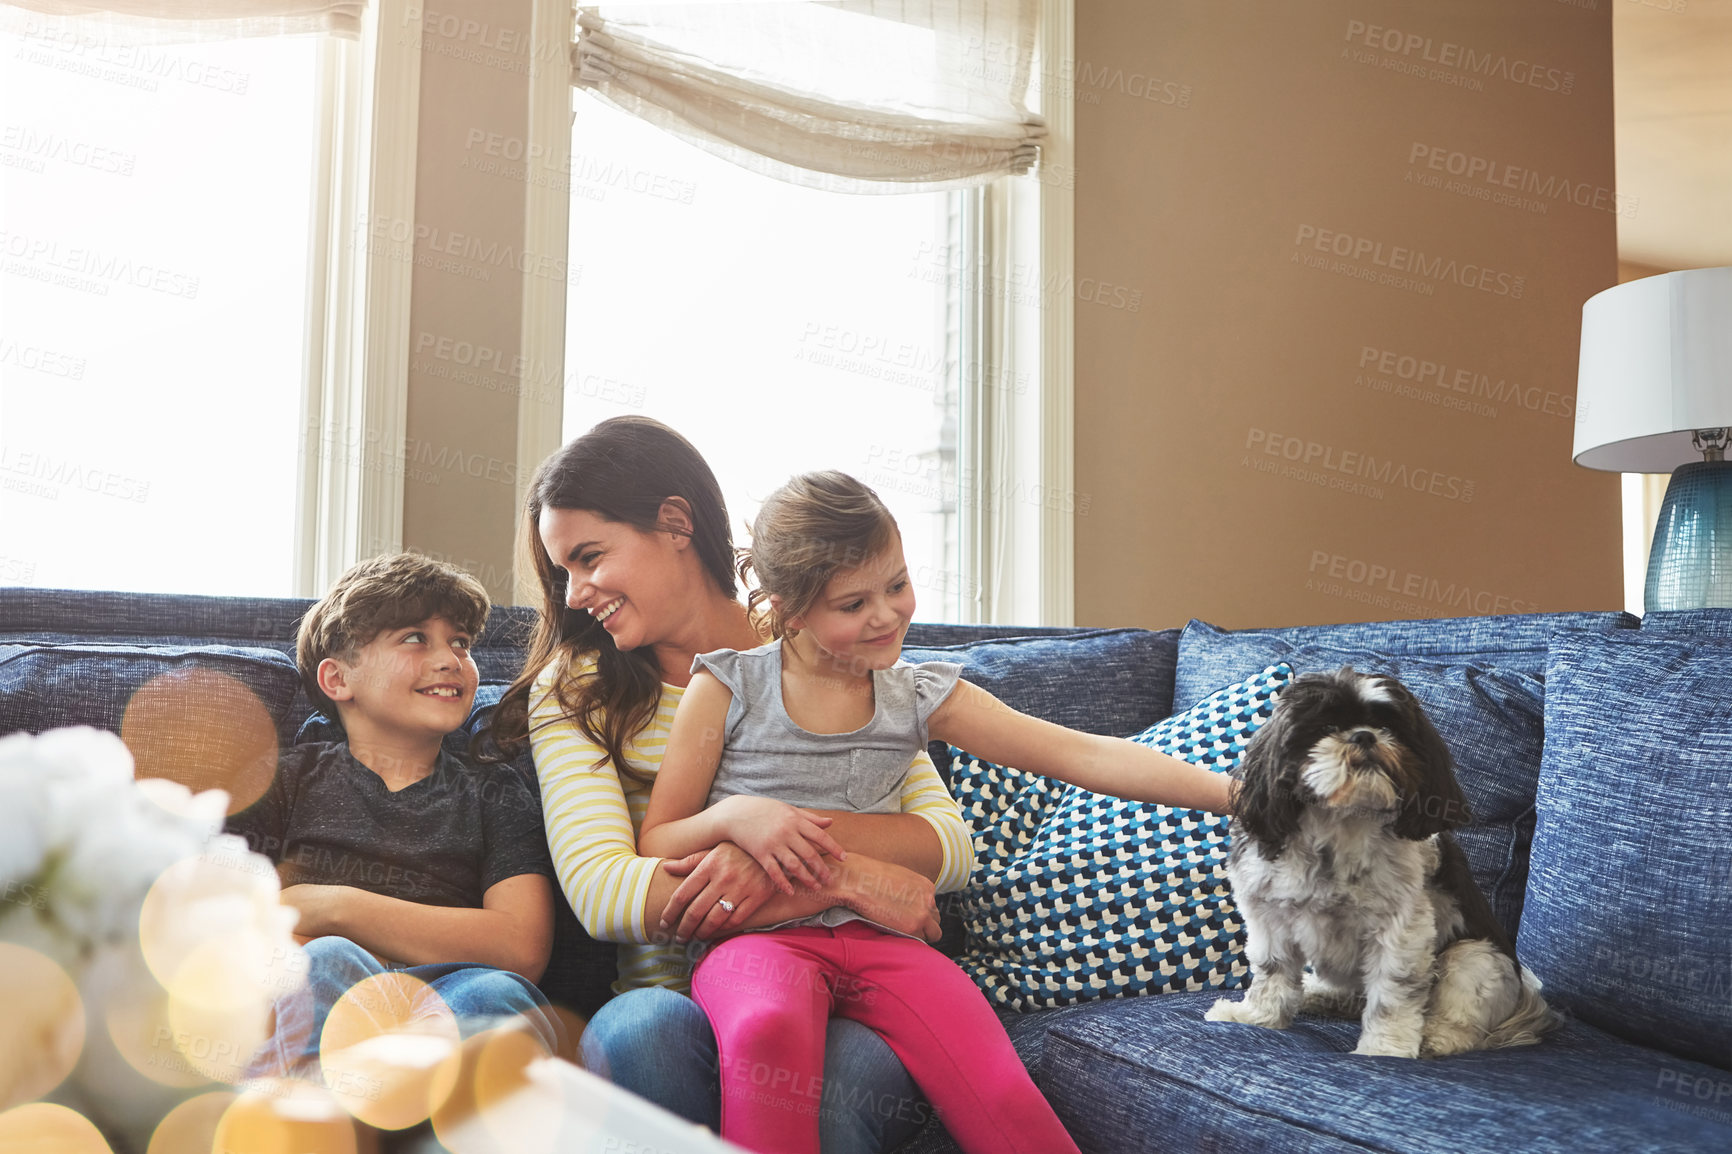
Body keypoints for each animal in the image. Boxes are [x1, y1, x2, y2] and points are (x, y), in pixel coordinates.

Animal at [1205, 665, 1558, 1053]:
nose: (1364, 736)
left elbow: (1392, 994)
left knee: (1459, 1010)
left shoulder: (1401, 932)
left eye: (1390, 727)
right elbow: (1272, 974)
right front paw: (1257, 1018)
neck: (1341, 824)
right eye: (1327, 726)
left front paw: (1383, 1049)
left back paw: (1435, 1036)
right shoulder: (1270, 919)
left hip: (1476, 958)